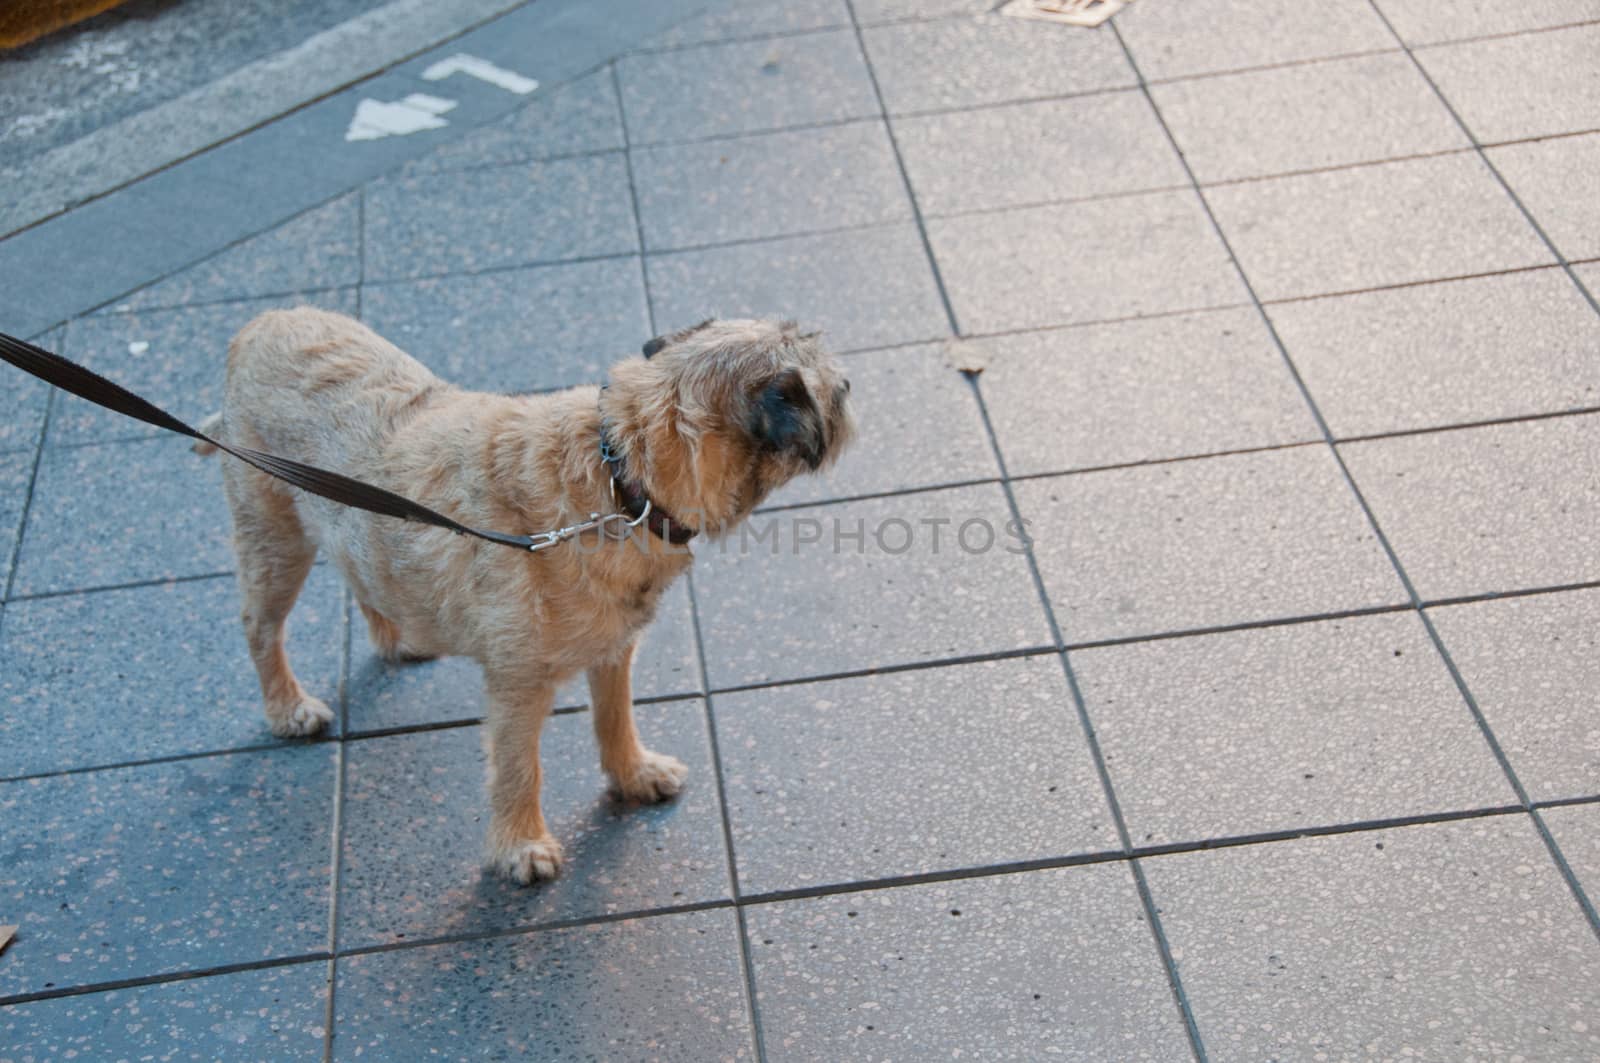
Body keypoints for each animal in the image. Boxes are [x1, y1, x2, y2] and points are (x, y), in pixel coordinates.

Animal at [200, 312, 857, 883]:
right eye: (829, 388)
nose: (851, 383)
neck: (621, 475)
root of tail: (256, 327)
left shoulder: (614, 647)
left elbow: (614, 713)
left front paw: (632, 772)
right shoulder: (516, 686)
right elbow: (519, 769)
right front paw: (520, 845)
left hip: (351, 521)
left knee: (360, 572)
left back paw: (395, 636)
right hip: (275, 540)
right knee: (260, 627)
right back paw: (288, 707)